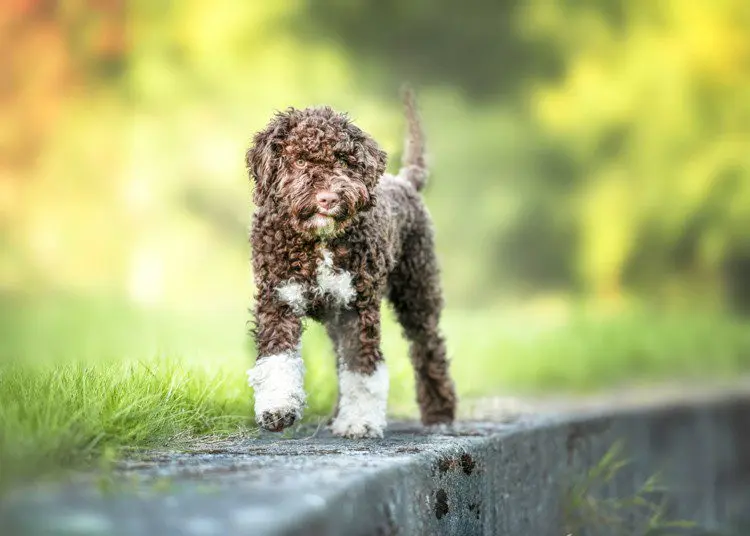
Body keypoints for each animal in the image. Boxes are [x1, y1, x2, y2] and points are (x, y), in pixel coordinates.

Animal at [248, 89, 458, 440]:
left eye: (343, 160)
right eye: (299, 159)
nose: (328, 198)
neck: (317, 242)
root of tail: (406, 181)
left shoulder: (357, 307)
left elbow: (361, 368)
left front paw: (359, 421)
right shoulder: (278, 298)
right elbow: (278, 358)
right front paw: (277, 408)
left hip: (417, 290)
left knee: (429, 348)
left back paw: (440, 413)